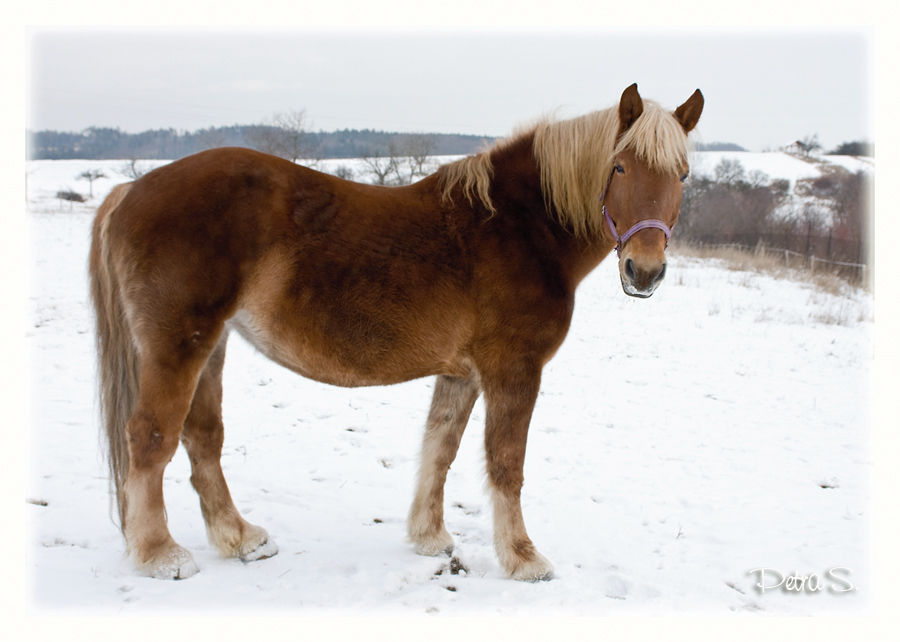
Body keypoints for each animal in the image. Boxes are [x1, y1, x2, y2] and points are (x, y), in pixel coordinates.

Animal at [91, 82, 708, 576]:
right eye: (621, 167)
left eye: (682, 175)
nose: (645, 271)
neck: (518, 228)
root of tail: (131, 190)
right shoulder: (514, 371)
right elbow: (506, 463)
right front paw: (524, 559)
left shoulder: (463, 374)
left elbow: (440, 448)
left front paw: (430, 537)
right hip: (177, 344)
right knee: (150, 437)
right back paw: (161, 555)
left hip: (211, 343)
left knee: (202, 437)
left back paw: (240, 539)